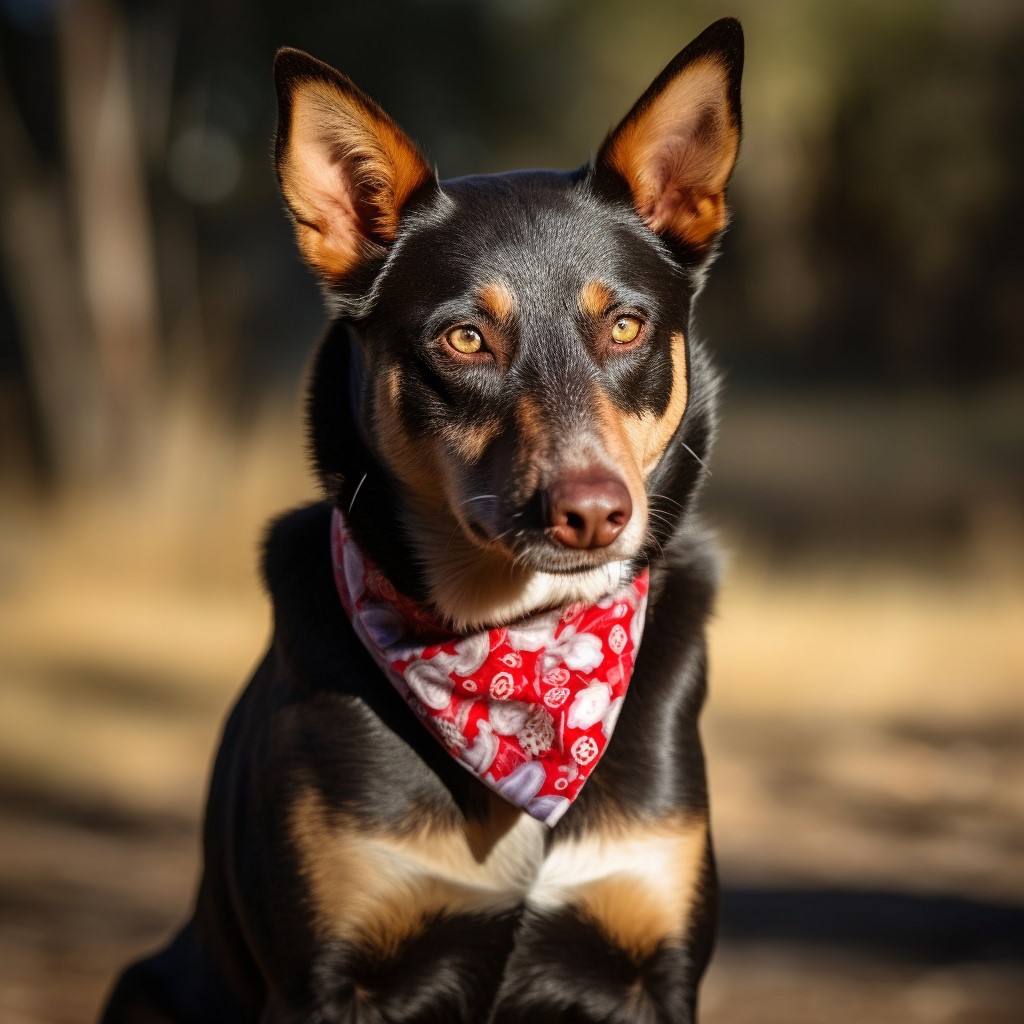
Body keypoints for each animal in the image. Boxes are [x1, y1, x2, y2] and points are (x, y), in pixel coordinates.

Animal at [101, 18, 745, 1024]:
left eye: (627, 328)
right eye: (464, 339)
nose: (594, 512)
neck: (521, 647)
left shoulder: (651, 964)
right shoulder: (329, 980)